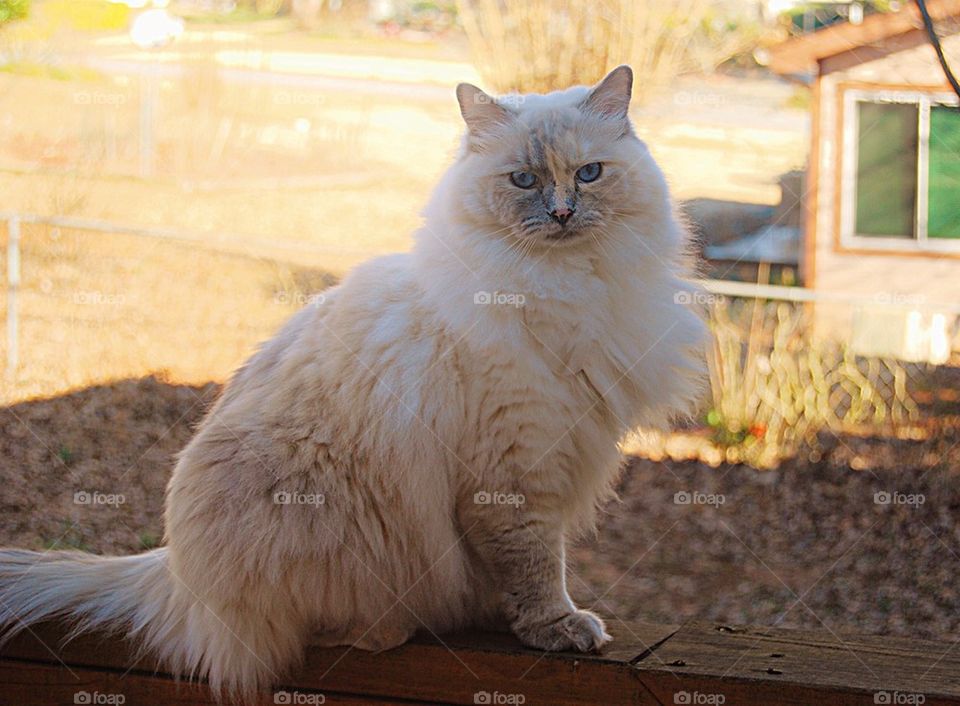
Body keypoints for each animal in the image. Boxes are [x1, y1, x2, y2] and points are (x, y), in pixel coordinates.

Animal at [0, 66, 704, 700]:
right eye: (524, 180)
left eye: (589, 174)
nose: (561, 213)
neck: (570, 286)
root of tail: (171, 572)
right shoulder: (516, 468)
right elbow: (533, 565)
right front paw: (555, 628)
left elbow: (520, 568)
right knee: (314, 632)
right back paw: (386, 630)